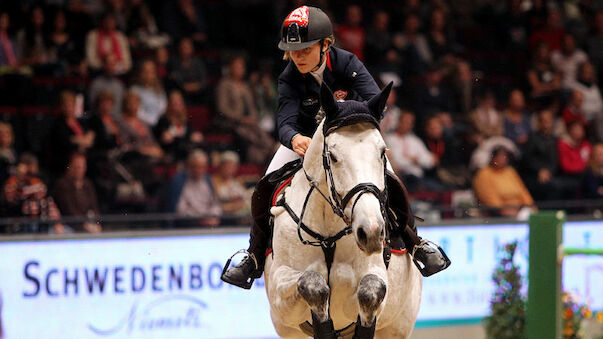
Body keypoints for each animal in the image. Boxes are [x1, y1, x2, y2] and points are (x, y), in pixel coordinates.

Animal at [264, 83, 424, 338]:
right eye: (333, 156)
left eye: (382, 152)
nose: (371, 232)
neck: (329, 232)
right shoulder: (281, 296)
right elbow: (313, 284)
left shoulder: (372, 277)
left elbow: (371, 292)